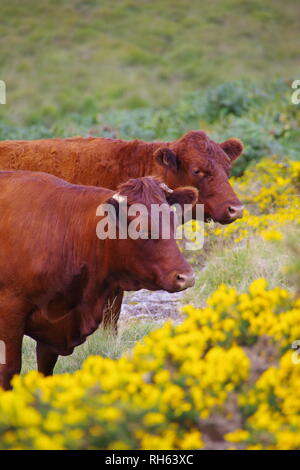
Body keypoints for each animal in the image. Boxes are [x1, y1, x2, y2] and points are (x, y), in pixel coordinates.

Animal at [0, 172, 197, 390]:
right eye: (142, 228)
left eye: (173, 221)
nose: (186, 277)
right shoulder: (10, 315)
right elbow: (9, 371)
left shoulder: (53, 326)